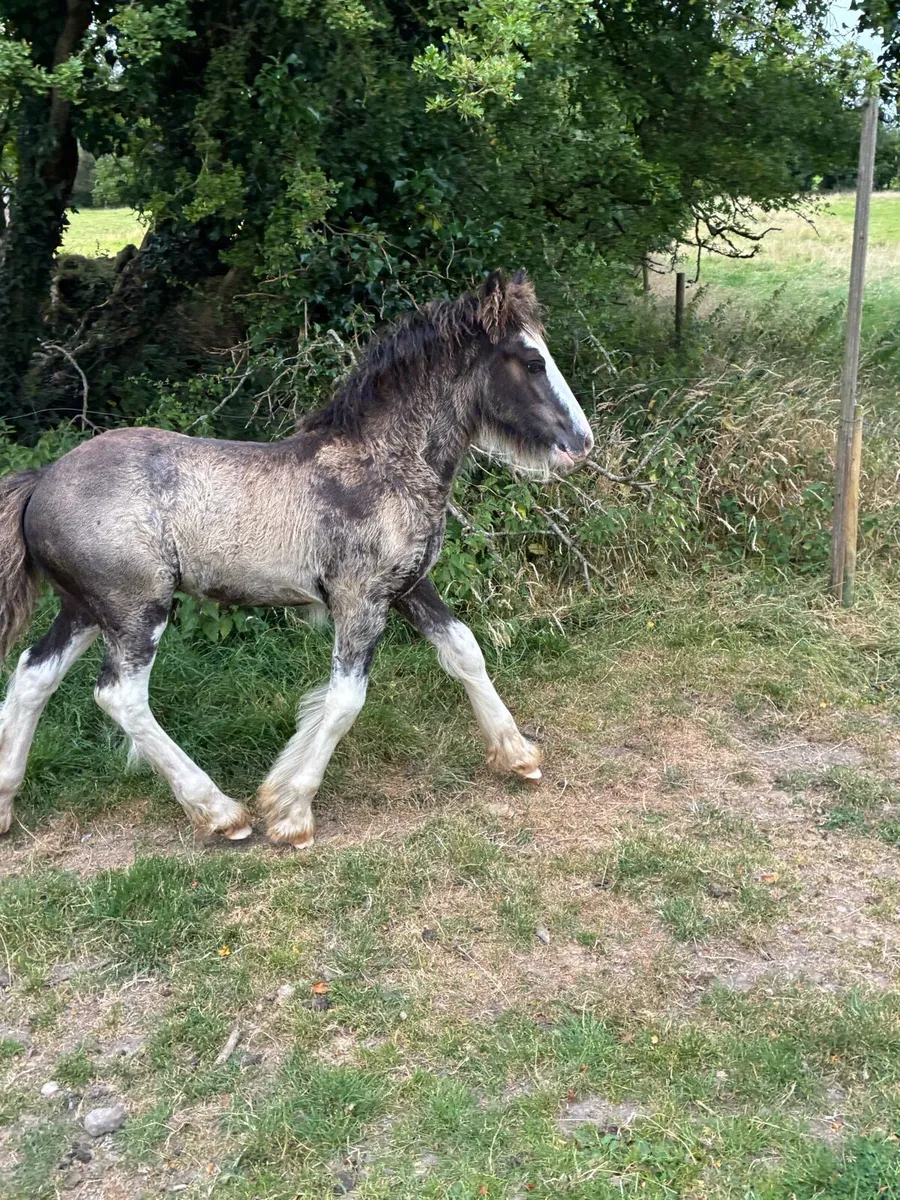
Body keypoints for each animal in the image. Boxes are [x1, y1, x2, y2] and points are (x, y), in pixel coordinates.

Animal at [0, 270, 593, 848]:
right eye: (533, 361)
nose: (581, 442)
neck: (383, 464)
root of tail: (42, 480)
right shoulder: (360, 600)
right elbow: (346, 698)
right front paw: (291, 815)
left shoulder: (407, 588)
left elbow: (465, 651)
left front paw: (518, 755)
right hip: (135, 610)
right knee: (120, 696)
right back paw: (221, 813)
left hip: (85, 609)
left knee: (32, 674)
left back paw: (6, 805)